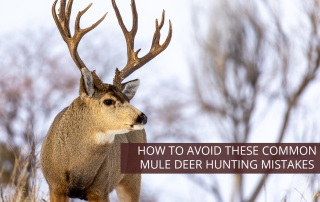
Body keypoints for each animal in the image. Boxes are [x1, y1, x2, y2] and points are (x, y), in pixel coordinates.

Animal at [40, 0, 172, 201]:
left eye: (127, 98)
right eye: (108, 101)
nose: (142, 117)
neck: (76, 168)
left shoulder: (101, 188)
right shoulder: (55, 186)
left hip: (132, 177)